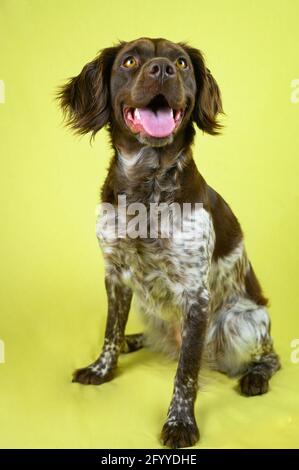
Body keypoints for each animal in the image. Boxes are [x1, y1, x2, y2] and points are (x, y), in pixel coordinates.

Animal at [58, 36, 282, 448]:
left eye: (181, 63)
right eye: (130, 61)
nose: (162, 69)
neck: (146, 187)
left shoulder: (196, 296)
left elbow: (186, 373)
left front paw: (181, 423)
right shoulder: (115, 276)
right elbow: (110, 333)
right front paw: (101, 370)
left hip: (242, 323)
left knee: (271, 357)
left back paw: (255, 376)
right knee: (144, 335)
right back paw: (134, 341)